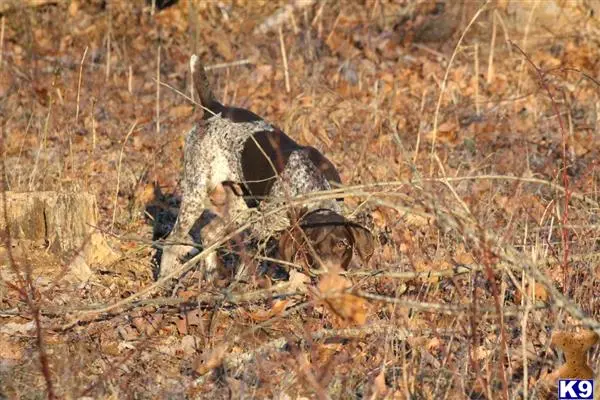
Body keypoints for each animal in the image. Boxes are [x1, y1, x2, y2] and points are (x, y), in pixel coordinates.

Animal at [159, 54, 376, 280]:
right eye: (312, 247)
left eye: (342, 245)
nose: (329, 277)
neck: (312, 186)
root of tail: (215, 109)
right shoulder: (263, 230)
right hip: (196, 196)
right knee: (172, 241)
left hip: (240, 207)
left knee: (208, 233)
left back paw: (210, 276)